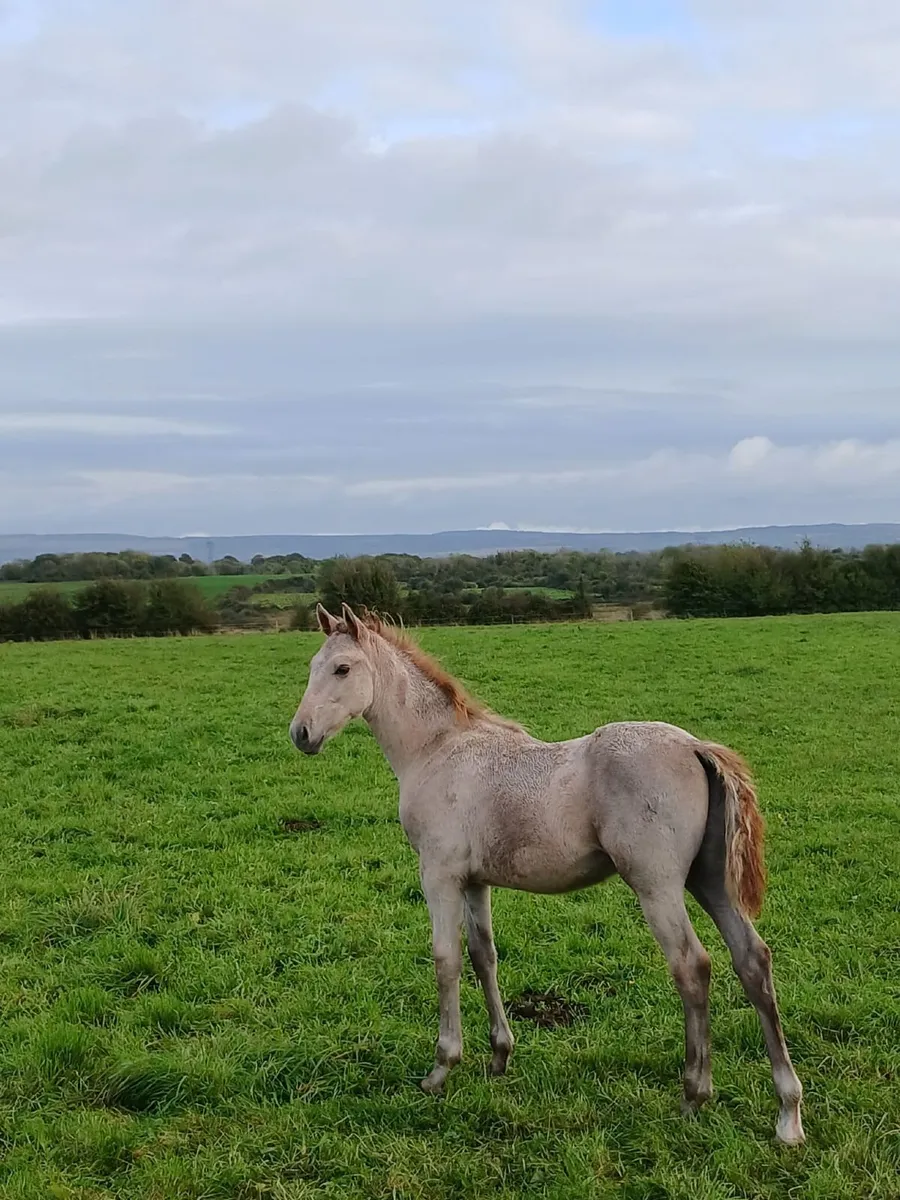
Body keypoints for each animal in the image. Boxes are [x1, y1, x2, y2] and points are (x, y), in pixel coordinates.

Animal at [289, 603, 804, 1145]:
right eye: (312, 666)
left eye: (342, 668)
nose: (300, 734)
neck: (436, 750)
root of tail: (695, 747)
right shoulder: (475, 881)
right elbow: (484, 956)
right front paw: (499, 1056)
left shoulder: (439, 874)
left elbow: (445, 960)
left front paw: (441, 1068)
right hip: (708, 881)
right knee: (753, 961)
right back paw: (788, 1112)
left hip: (657, 886)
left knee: (692, 967)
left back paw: (694, 1093)